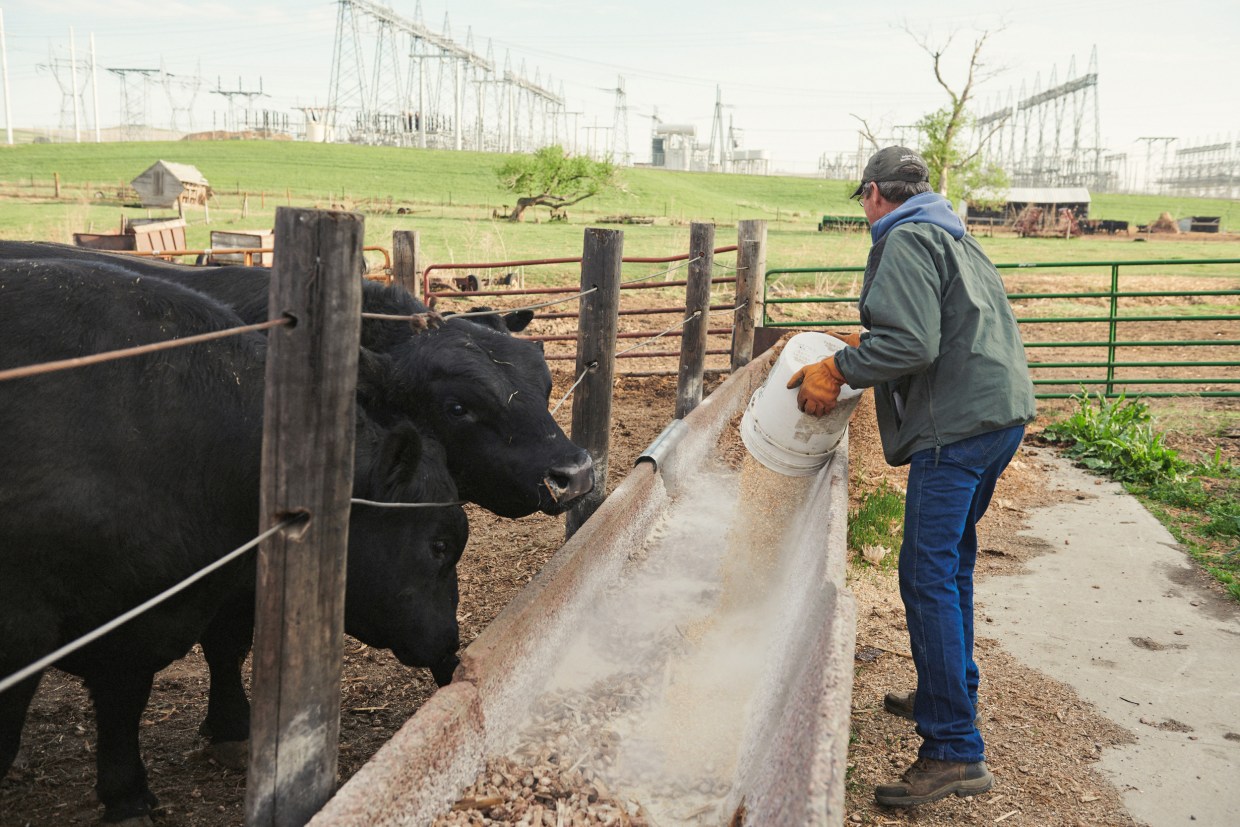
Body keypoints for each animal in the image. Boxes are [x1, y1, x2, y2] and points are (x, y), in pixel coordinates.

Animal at [1, 261, 466, 823]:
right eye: (438, 546)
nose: (450, 644)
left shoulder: (143, 618)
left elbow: (128, 698)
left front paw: (129, 792)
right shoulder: (27, 630)